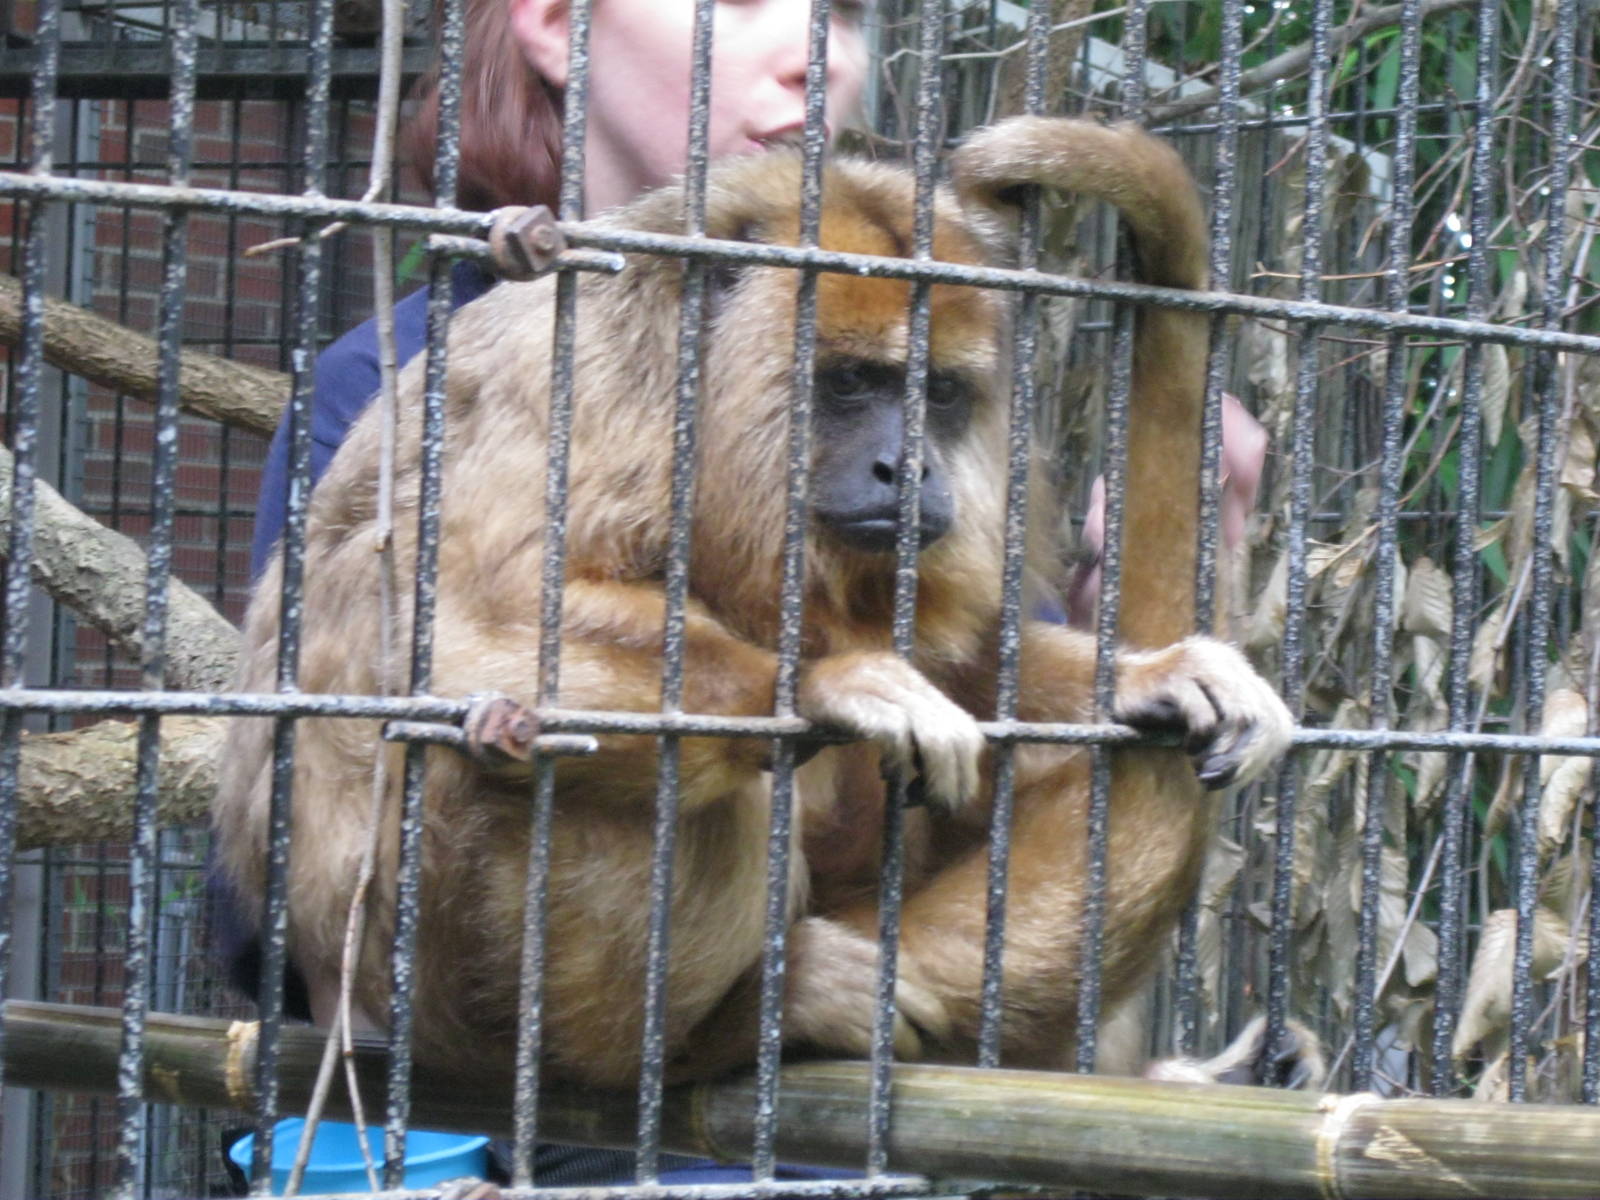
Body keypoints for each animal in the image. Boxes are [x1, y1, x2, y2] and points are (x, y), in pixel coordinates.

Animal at [212, 116, 1293, 1090]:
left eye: (940, 395)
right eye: (850, 384)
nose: (910, 468)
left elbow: (962, 661)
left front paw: (1146, 674)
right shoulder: (582, 376)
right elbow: (448, 622)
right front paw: (833, 684)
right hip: (448, 989)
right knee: (544, 745)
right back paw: (722, 1029)